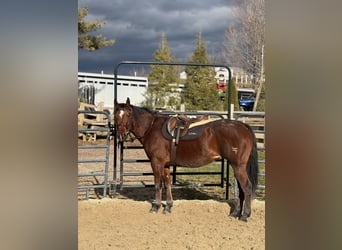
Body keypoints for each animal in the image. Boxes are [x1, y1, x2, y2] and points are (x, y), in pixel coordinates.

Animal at [113, 97, 258, 221]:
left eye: (128, 114)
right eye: (115, 115)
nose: (121, 135)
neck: (152, 127)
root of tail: (243, 126)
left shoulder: (156, 163)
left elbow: (158, 184)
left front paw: (156, 206)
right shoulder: (165, 165)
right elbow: (167, 183)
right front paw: (168, 206)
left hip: (238, 166)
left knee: (246, 187)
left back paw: (244, 215)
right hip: (238, 166)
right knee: (242, 189)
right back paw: (236, 213)